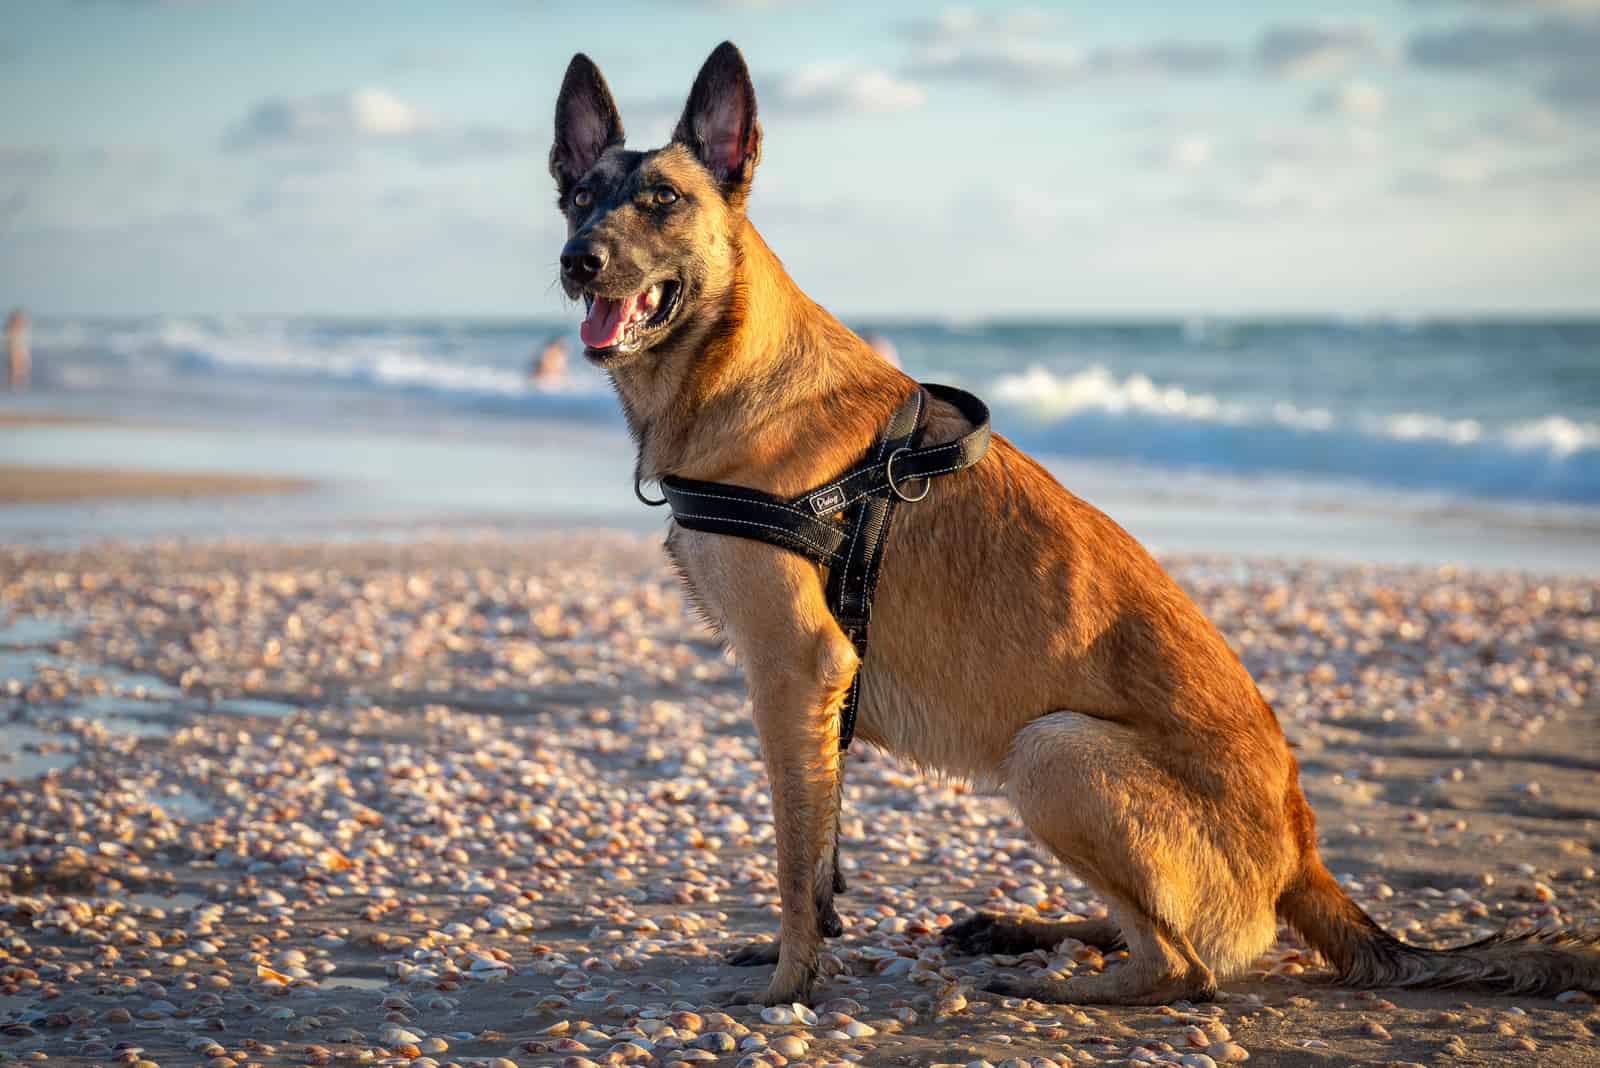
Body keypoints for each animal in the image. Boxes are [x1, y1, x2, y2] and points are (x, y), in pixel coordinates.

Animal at [544, 43, 1593, 1010]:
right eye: (580, 197)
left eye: (664, 201)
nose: (575, 262)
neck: (731, 360)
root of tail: (1302, 858)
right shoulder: (815, 690)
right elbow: (822, 845)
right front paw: (796, 955)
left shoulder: (797, 668)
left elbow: (798, 855)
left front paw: (789, 983)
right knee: (1166, 942)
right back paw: (1028, 931)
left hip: (1051, 752)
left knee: (1185, 969)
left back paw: (1053, 985)